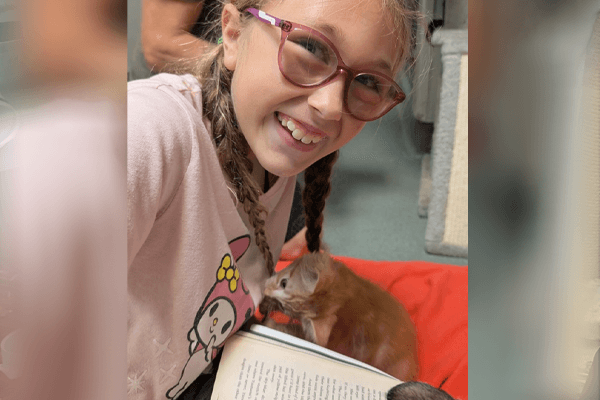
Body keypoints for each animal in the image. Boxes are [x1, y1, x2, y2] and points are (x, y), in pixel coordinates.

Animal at [262, 253, 418, 382]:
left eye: (283, 283)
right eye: (283, 308)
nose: (266, 290)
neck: (345, 300)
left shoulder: (325, 342)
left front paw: (270, 324)